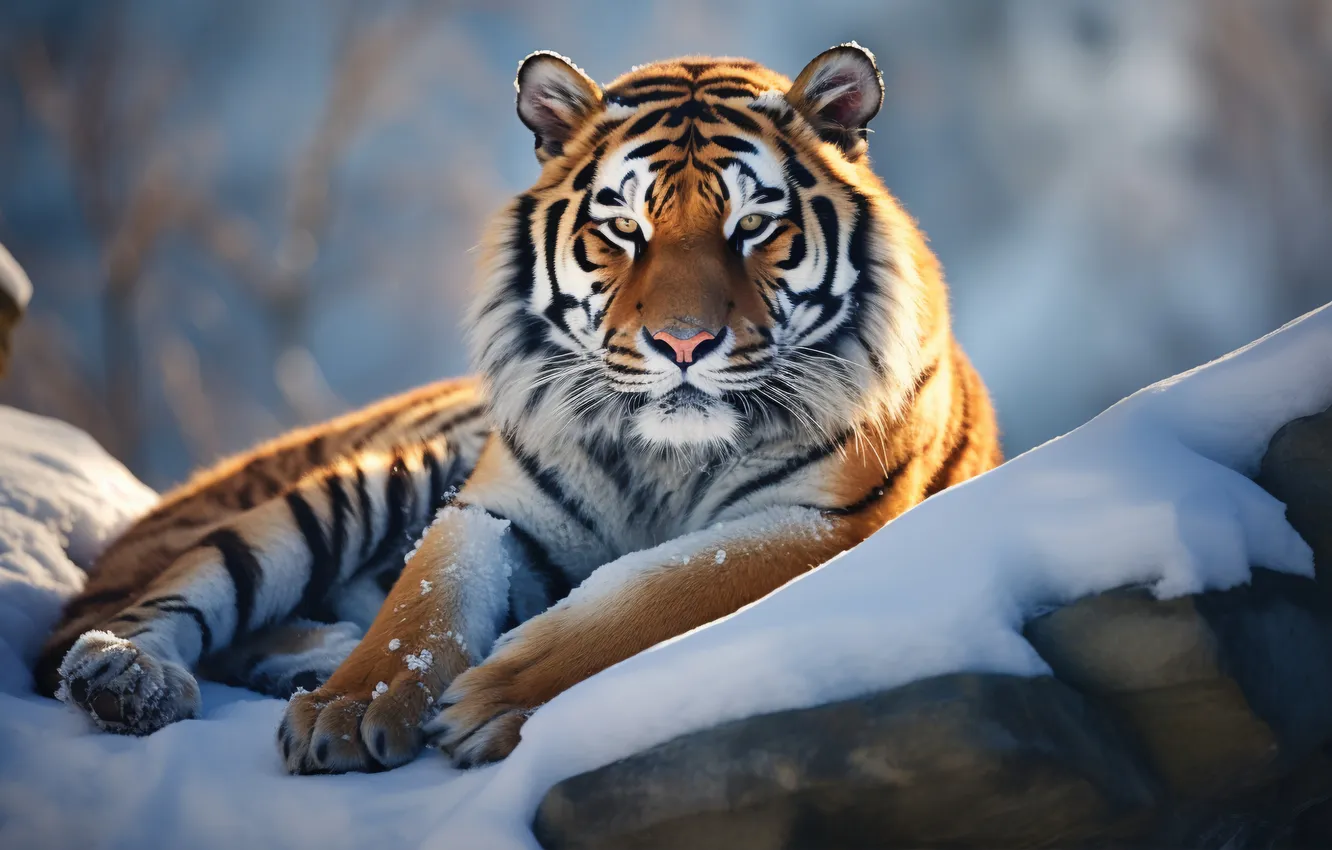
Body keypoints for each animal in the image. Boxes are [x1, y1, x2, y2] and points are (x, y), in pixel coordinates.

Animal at [36, 44, 1001, 773]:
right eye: (623, 230)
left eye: (753, 227)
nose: (684, 344)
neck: (666, 455)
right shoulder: (493, 507)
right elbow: (421, 605)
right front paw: (349, 706)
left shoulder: (830, 523)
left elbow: (661, 587)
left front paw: (492, 699)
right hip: (359, 485)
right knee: (137, 613)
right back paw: (136, 677)